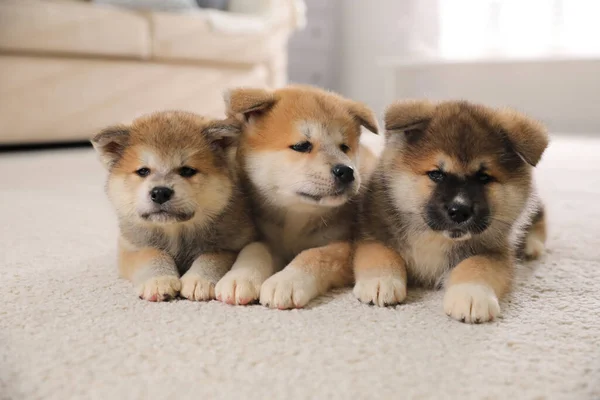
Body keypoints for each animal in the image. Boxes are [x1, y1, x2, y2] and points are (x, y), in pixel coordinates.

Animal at [92, 111, 255, 302]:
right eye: (143, 171)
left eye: (187, 171)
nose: (160, 192)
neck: (176, 233)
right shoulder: (131, 248)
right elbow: (152, 254)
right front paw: (159, 279)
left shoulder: (234, 245)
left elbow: (212, 256)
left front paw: (198, 279)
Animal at [213, 84, 378, 310]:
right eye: (302, 146)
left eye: (344, 147)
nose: (346, 171)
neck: (295, 220)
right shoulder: (268, 238)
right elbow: (254, 249)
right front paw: (240, 277)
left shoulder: (344, 244)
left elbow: (313, 255)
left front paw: (286, 281)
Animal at [356, 100, 548, 322]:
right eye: (436, 174)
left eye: (484, 178)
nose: (459, 210)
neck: (435, 238)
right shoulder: (372, 233)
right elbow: (382, 253)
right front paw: (380, 281)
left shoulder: (494, 252)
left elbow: (477, 265)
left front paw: (471, 295)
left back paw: (532, 246)